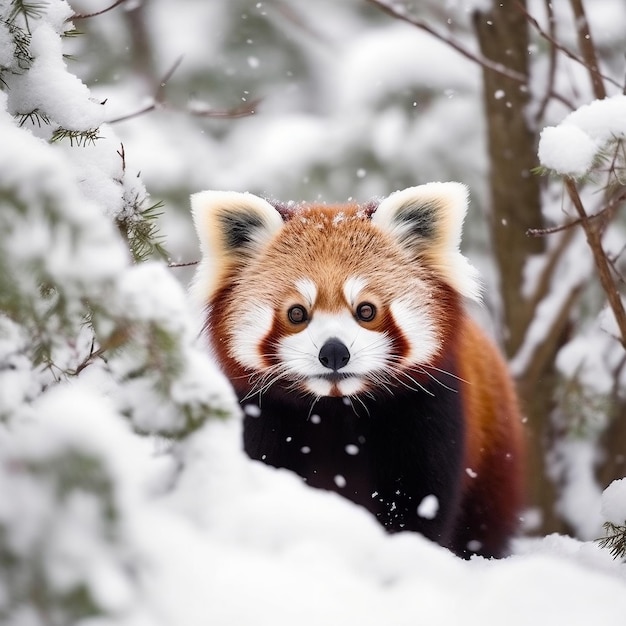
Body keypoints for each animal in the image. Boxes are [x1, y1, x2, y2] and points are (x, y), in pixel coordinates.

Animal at [189, 180, 520, 556]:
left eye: (366, 310)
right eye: (296, 313)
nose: (334, 352)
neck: (337, 408)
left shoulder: (427, 413)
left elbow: (421, 499)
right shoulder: (261, 415)